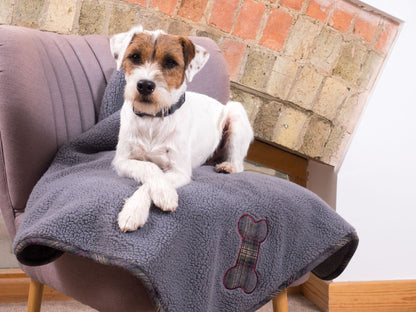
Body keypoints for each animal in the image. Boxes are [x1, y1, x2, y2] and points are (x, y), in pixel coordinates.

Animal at [110, 26, 254, 232]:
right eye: (135, 57)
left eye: (170, 62)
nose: (145, 85)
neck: (153, 119)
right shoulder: (122, 160)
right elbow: (150, 167)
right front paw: (140, 206)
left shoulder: (180, 171)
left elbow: (152, 181)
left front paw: (140, 207)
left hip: (236, 113)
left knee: (239, 164)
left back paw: (228, 166)